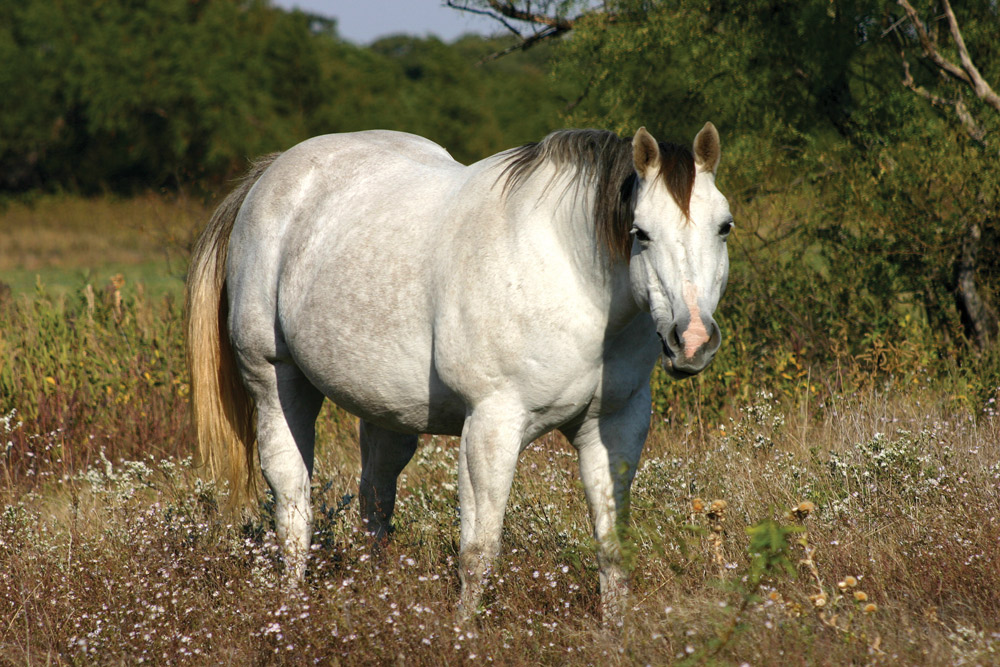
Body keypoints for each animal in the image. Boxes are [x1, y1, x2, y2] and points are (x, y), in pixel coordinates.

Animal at [188, 122, 732, 624]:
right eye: (640, 233)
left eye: (724, 226)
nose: (692, 340)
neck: (572, 274)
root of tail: (270, 174)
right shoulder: (492, 426)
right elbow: (479, 552)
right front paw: (465, 637)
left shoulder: (615, 427)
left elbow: (613, 547)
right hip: (275, 383)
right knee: (293, 509)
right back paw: (290, 607)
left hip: (386, 410)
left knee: (375, 499)